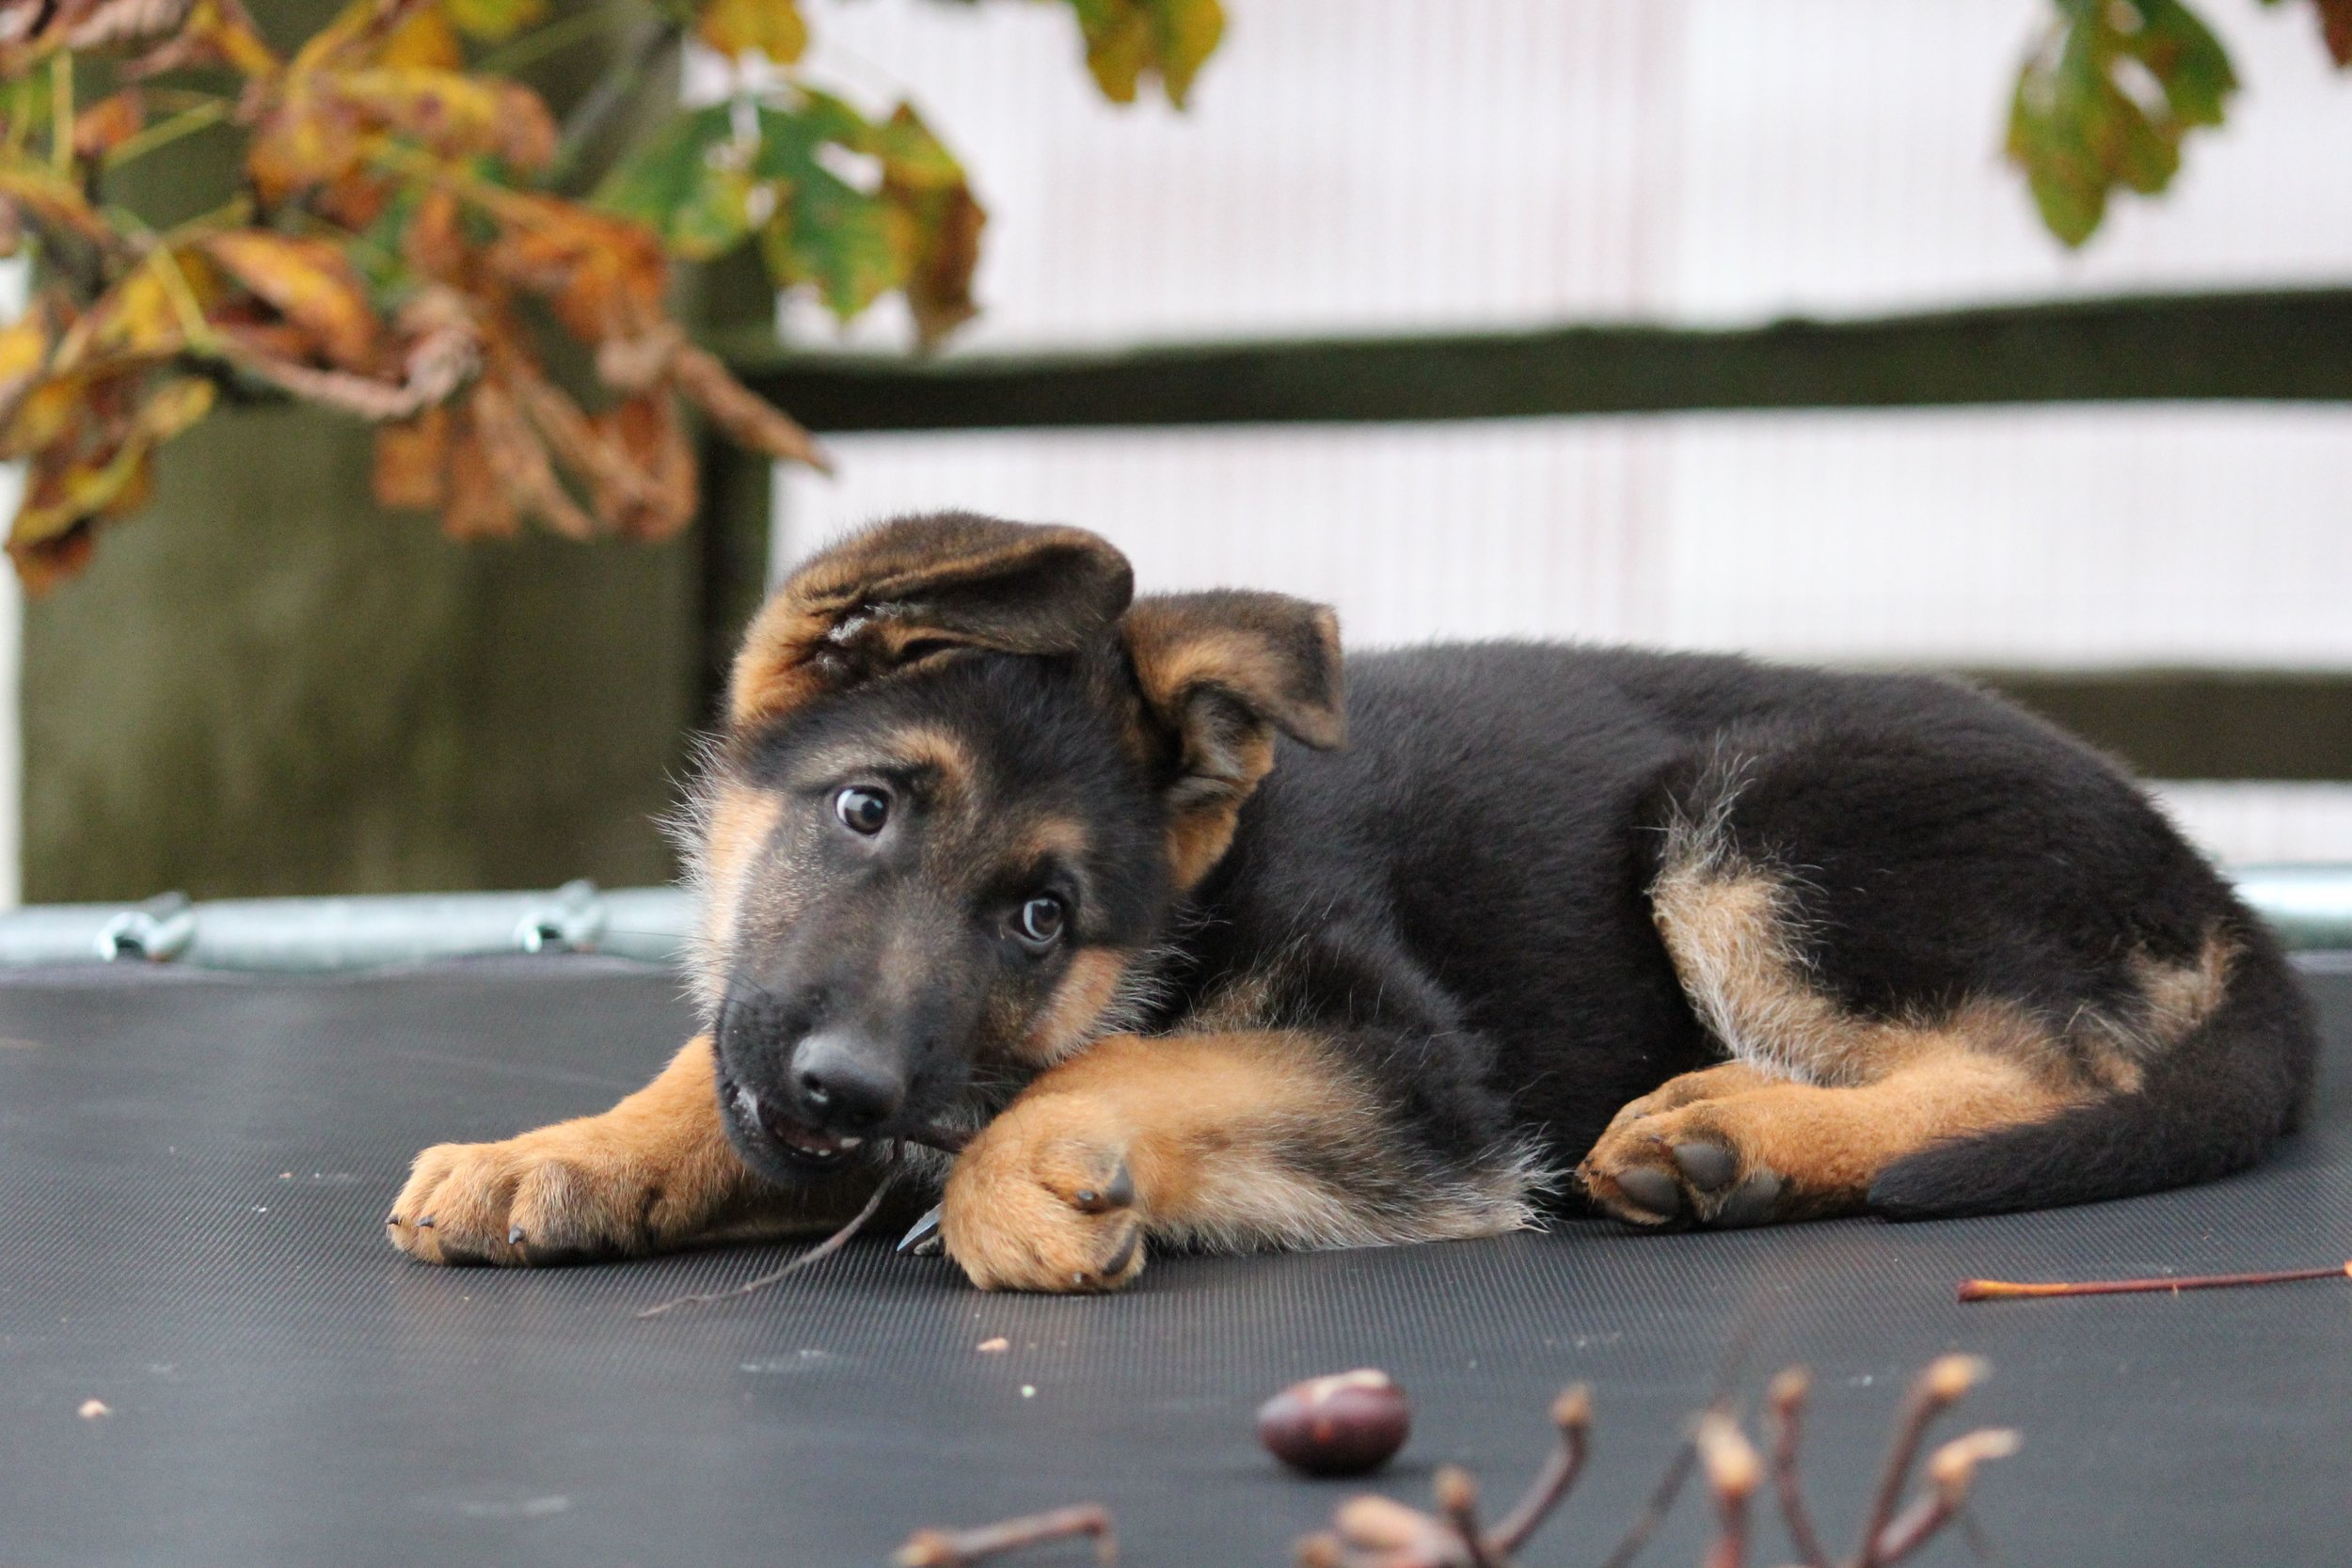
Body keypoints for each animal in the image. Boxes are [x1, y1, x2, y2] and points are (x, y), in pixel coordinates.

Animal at [386, 510, 2314, 1297]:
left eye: (1041, 918)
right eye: (861, 811)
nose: (848, 1091)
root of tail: (2206, 874)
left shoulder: (1413, 1076)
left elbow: (1117, 1069)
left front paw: (1026, 1173)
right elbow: (707, 1082)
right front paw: (557, 1152)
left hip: (1759, 813)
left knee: (2044, 1066)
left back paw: (1734, 1135)